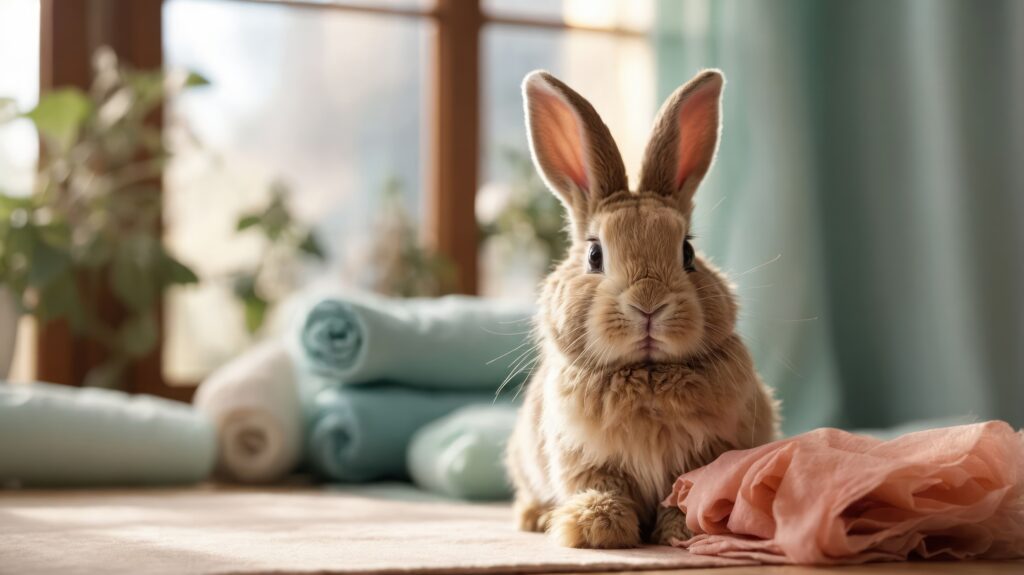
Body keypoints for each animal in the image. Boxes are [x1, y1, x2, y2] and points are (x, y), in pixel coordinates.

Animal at [505, 69, 780, 549]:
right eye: (594, 255)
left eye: (688, 252)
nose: (648, 305)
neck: (648, 374)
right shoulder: (587, 459)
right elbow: (604, 487)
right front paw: (595, 528)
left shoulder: (707, 455)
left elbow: (686, 491)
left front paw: (683, 530)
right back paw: (536, 518)